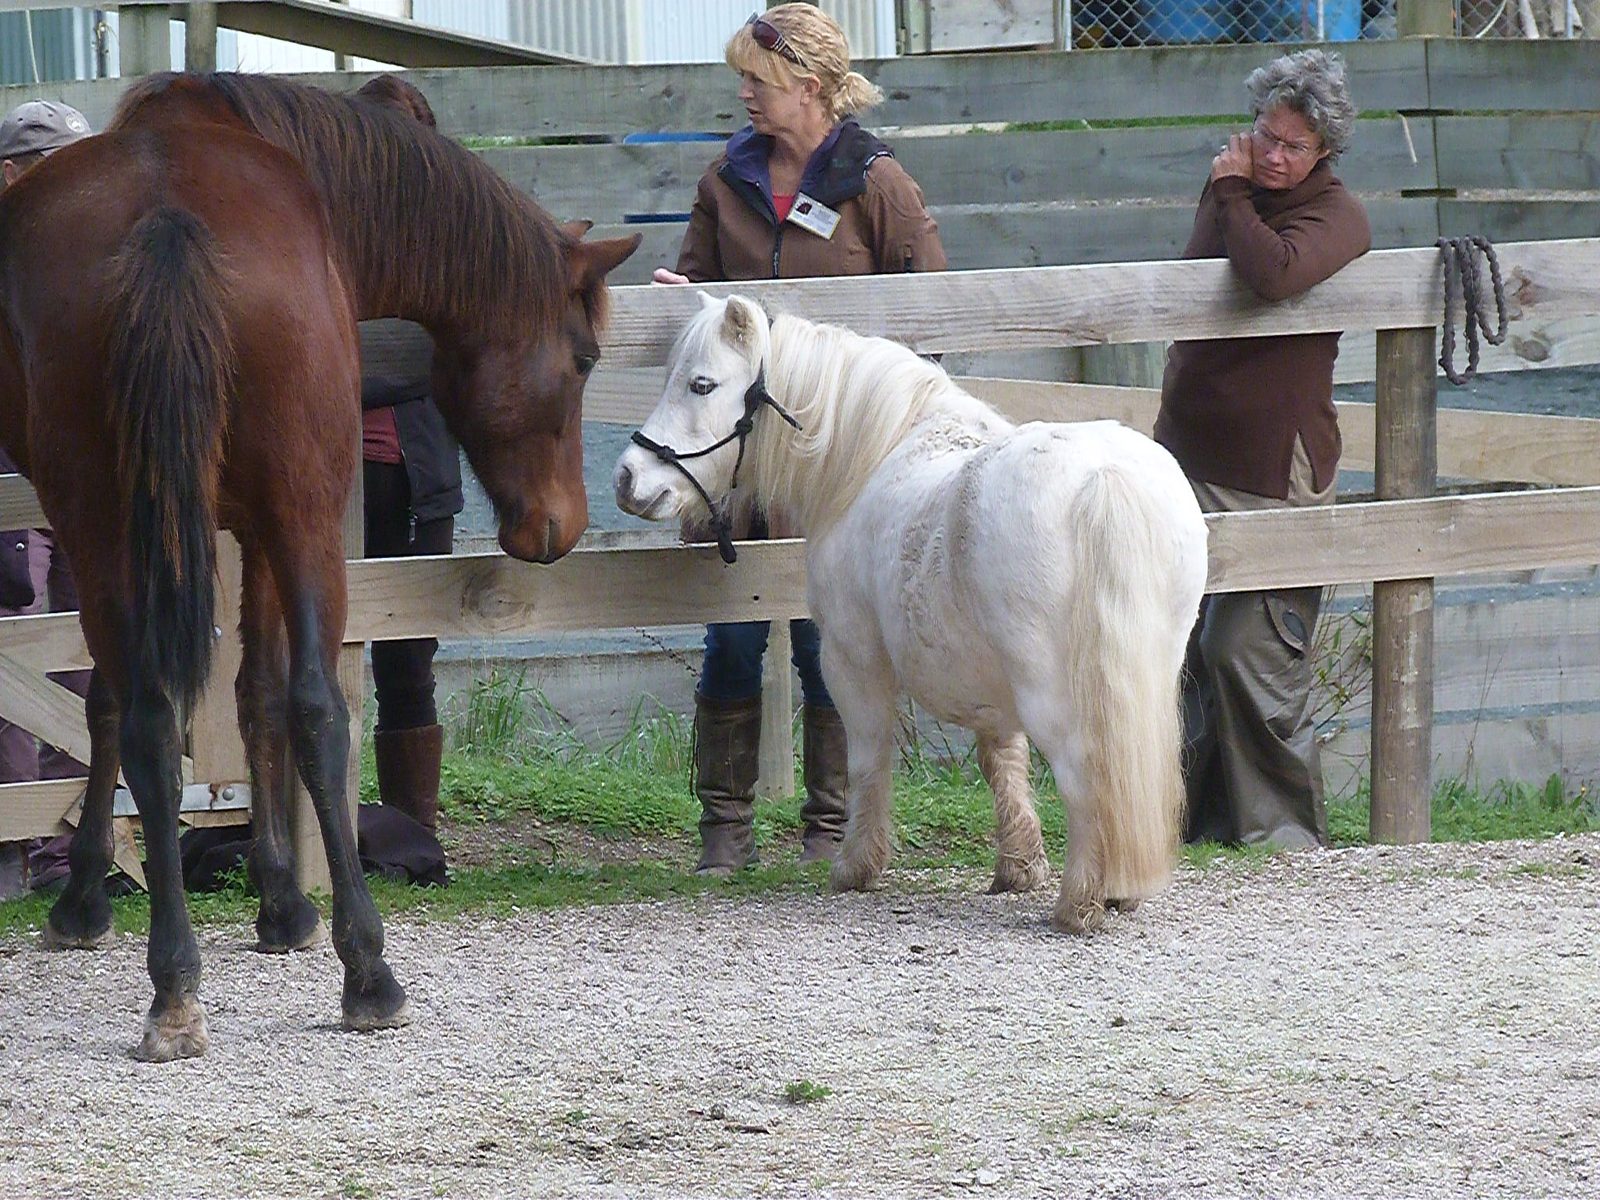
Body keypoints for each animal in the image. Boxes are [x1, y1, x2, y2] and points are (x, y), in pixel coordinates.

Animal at [0, 72, 638, 1060]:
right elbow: (240, 697)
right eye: (583, 358)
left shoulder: (217, 530)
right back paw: (343, 970)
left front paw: (249, 898)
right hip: (267, 518)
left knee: (178, 714)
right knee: (274, 708)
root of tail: (167, 225)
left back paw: (202, 978)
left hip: (157, 520)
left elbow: (224, 699)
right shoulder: (250, 531)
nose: (558, 525)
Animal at [613, 294, 1208, 932]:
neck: (874, 456)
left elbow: (866, 759)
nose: (628, 478)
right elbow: (1002, 760)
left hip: (1053, 692)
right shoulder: (989, 686)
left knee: (1085, 773)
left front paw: (855, 866)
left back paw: (1080, 900)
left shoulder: (851, 660)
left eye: (701, 384)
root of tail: (1103, 477)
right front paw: (1018, 867)